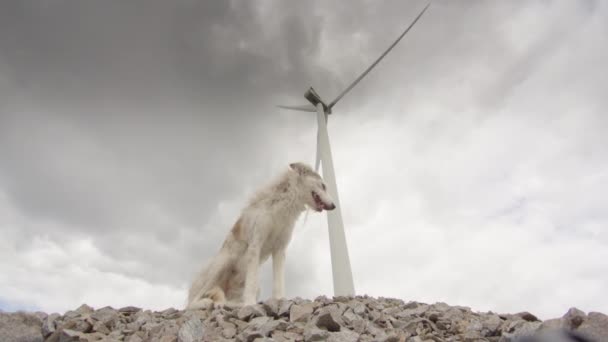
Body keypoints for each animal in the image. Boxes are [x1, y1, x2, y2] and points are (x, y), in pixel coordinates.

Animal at [186, 162, 334, 308]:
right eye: (323, 185)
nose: (334, 206)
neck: (282, 204)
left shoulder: (280, 250)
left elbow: (278, 282)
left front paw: (280, 300)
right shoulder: (255, 245)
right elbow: (251, 284)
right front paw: (250, 304)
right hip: (223, 264)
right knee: (193, 301)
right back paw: (204, 303)